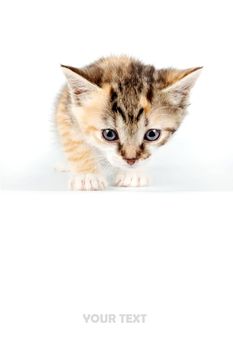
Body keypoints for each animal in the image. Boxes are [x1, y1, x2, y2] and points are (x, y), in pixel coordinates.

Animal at [55, 55, 202, 190]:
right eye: (109, 134)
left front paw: (132, 174)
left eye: (152, 134)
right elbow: (76, 145)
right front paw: (88, 176)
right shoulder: (67, 112)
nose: (131, 160)